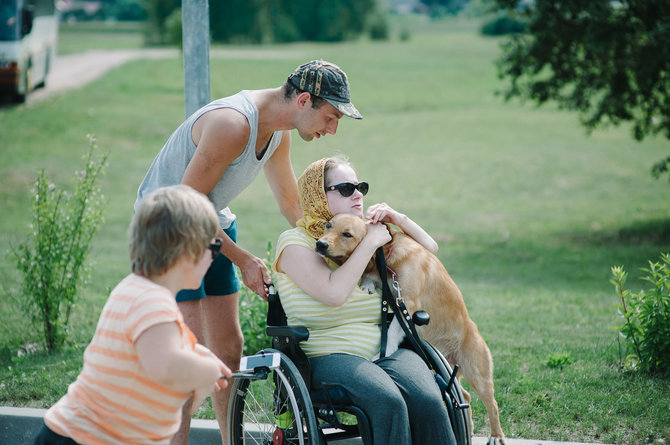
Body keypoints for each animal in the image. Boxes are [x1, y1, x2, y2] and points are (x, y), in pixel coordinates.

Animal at [318, 213, 506, 442]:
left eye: (347, 234)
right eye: (328, 225)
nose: (320, 244)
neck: (389, 258)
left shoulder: (407, 304)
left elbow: (391, 333)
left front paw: (384, 353)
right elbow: (370, 280)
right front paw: (367, 285)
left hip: (478, 373)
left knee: (492, 404)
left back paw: (496, 435)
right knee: (465, 397)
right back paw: (468, 430)